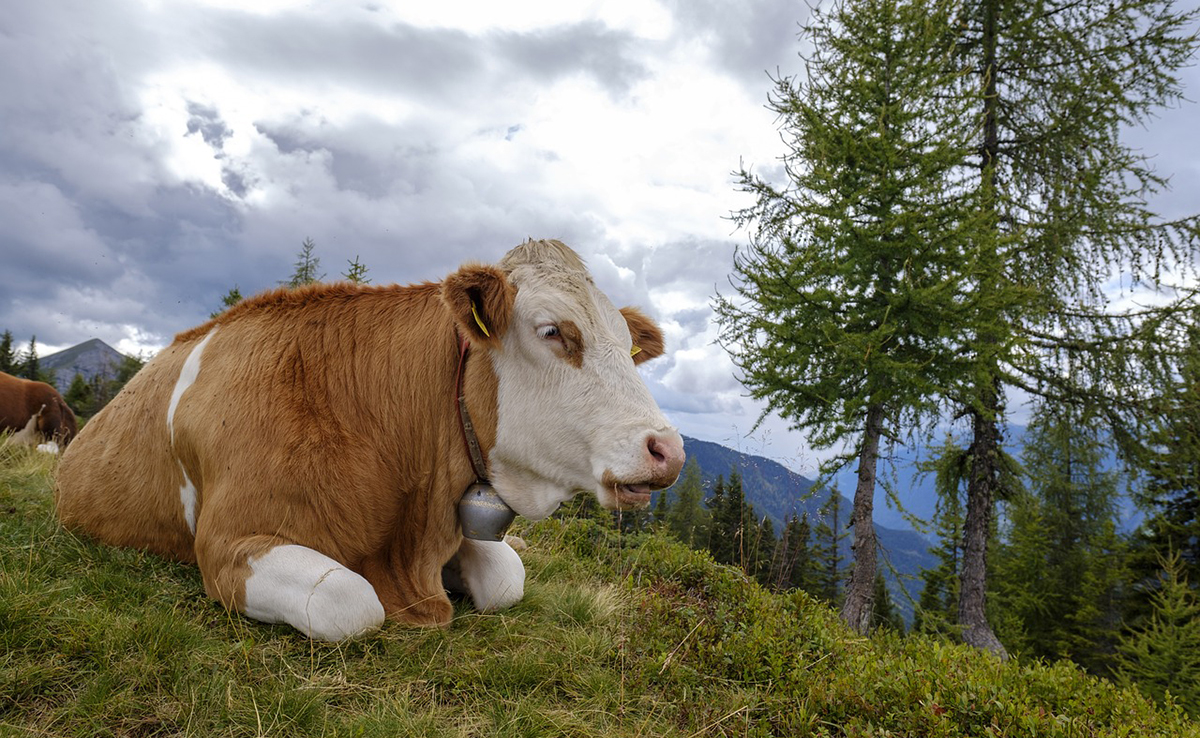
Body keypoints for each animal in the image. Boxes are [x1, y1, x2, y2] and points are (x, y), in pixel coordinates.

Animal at [56, 241, 686, 643]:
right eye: (554, 331)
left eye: (630, 346)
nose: (669, 451)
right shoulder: (227, 543)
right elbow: (349, 600)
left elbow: (508, 577)